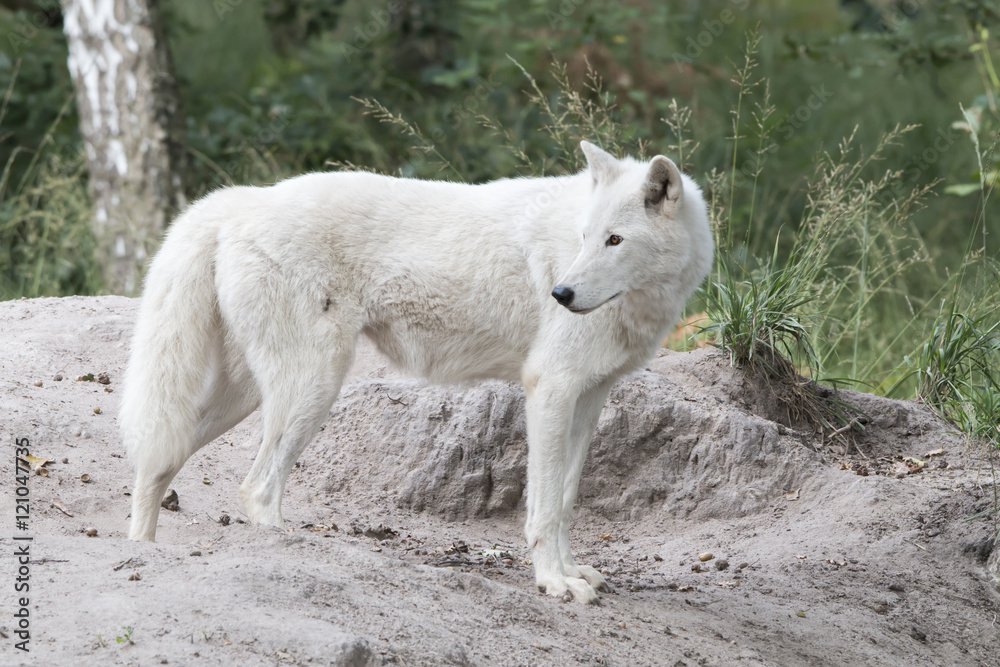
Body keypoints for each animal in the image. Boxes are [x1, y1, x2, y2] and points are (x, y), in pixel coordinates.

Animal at [121, 141, 716, 604]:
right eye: (585, 237)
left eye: (614, 240)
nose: (561, 294)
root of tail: (243, 198)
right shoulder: (550, 390)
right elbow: (544, 507)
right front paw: (553, 582)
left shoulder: (589, 399)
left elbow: (566, 499)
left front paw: (571, 573)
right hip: (312, 389)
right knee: (256, 488)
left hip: (245, 396)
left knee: (159, 460)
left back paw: (140, 551)